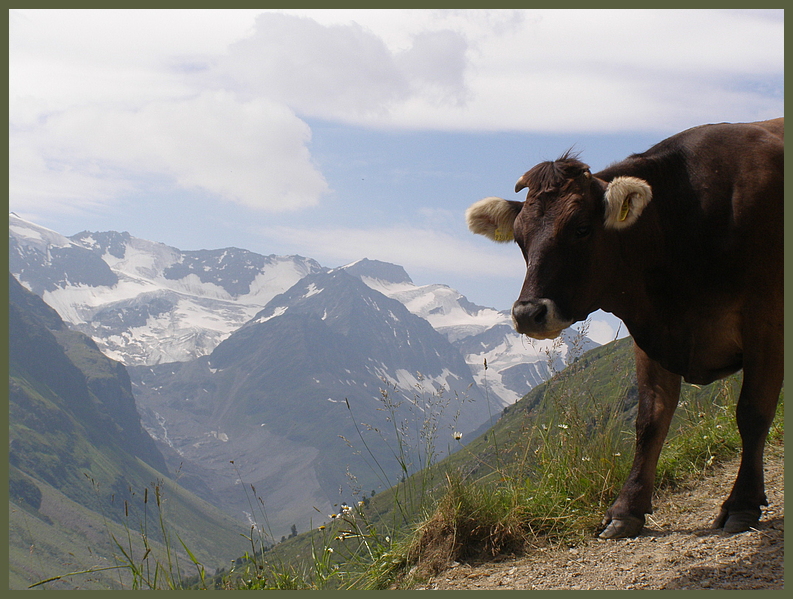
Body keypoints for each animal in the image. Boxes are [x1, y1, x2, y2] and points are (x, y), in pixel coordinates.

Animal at [468, 119, 784, 540]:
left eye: (582, 228)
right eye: (519, 238)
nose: (528, 313)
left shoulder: (766, 321)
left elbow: (752, 413)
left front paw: (743, 503)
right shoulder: (650, 335)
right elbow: (650, 419)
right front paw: (626, 508)